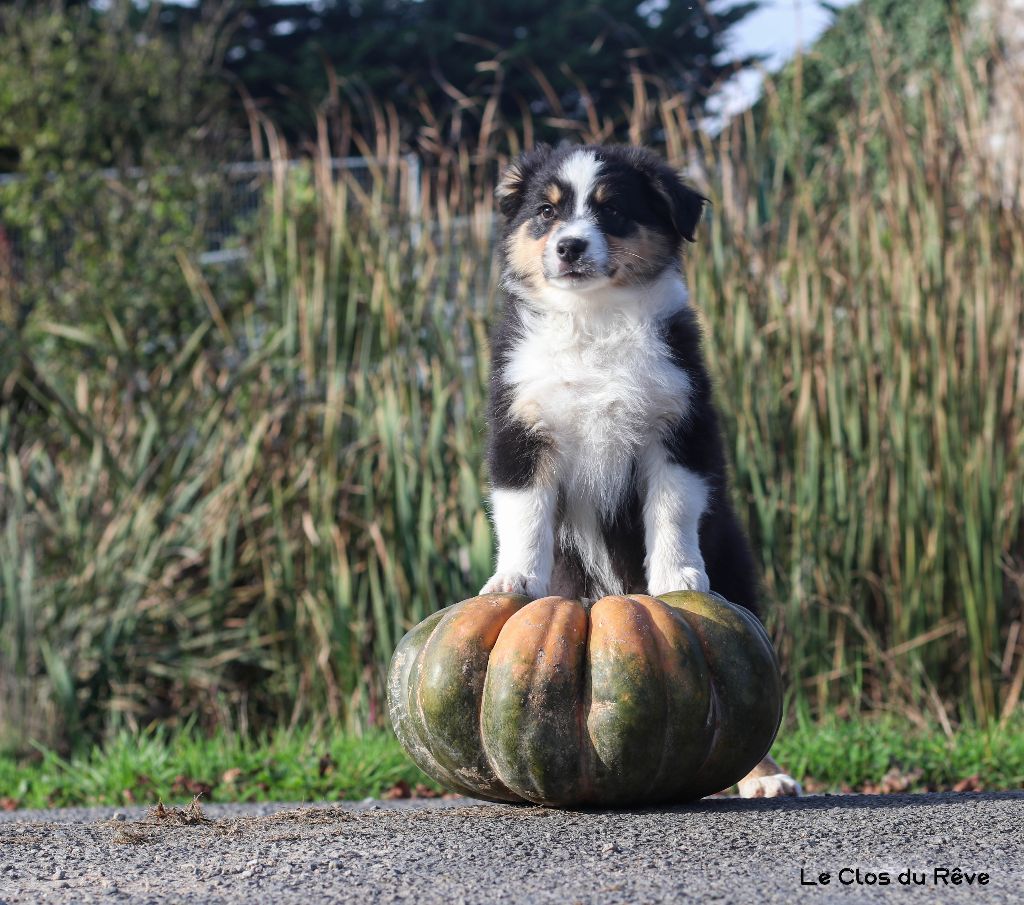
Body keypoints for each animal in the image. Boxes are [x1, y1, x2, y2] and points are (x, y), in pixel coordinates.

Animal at [479, 143, 798, 798]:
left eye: (613, 210)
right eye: (546, 213)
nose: (570, 246)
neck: (593, 319)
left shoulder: (679, 430)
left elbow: (671, 511)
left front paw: (677, 576)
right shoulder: (520, 430)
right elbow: (524, 517)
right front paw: (512, 580)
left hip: (735, 570)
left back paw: (766, 777)